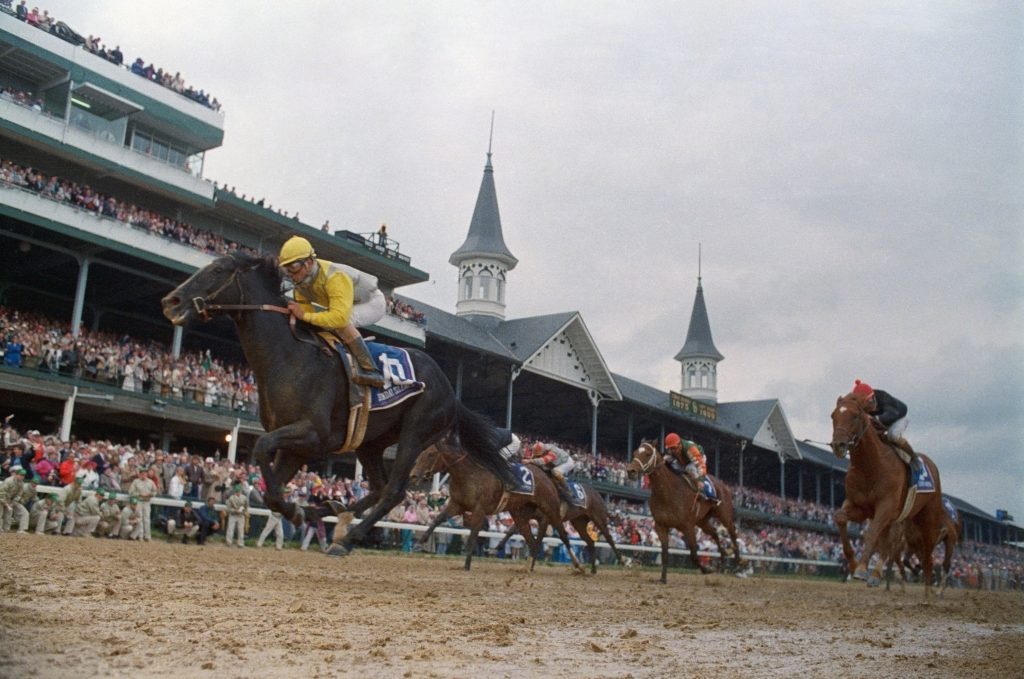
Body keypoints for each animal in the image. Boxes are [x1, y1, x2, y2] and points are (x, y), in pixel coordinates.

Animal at [162, 251, 516, 557]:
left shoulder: (312, 435)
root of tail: (451, 392)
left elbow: (262, 450)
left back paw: (347, 537)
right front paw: (300, 510)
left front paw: (299, 511)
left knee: (394, 490)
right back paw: (331, 511)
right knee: (378, 487)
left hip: (416, 433)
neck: (289, 357)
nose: (171, 302)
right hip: (371, 443)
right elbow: (269, 491)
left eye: (218, 270)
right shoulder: (295, 445)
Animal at [407, 440, 585, 573]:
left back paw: (579, 566)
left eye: (430, 454)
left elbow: (472, 535)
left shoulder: (480, 509)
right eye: (421, 454)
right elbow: (438, 519)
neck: (470, 474)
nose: (413, 475)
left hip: (550, 509)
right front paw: (419, 543)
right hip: (521, 514)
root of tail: (545, 475)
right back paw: (526, 568)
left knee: (563, 535)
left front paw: (466, 565)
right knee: (532, 542)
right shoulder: (457, 504)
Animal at [622, 440, 745, 585]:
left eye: (647, 454)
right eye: (635, 452)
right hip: (702, 520)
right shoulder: (661, 526)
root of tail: (724, 485)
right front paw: (662, 578)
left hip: (724, 514)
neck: (667, 493)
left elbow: (693, 555)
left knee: (732, 532)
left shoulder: (688, 526)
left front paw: (706, 569)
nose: (631, 471)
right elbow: (665, 553)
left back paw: (737, 560)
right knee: (714, 532)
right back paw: (723, 557)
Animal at [827, 393, 946, 602]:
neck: (871, 465)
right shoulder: (860, 507)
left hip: (928, 518)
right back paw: (876, 575)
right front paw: (853, 562)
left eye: (855, 416)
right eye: (834, 416)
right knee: (889, 544)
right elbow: (840, 517)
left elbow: (871, 533)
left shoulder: (886, 506)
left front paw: (860, 569)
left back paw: (928, 590)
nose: (838, 445)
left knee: (927, 553)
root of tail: (931, 464)